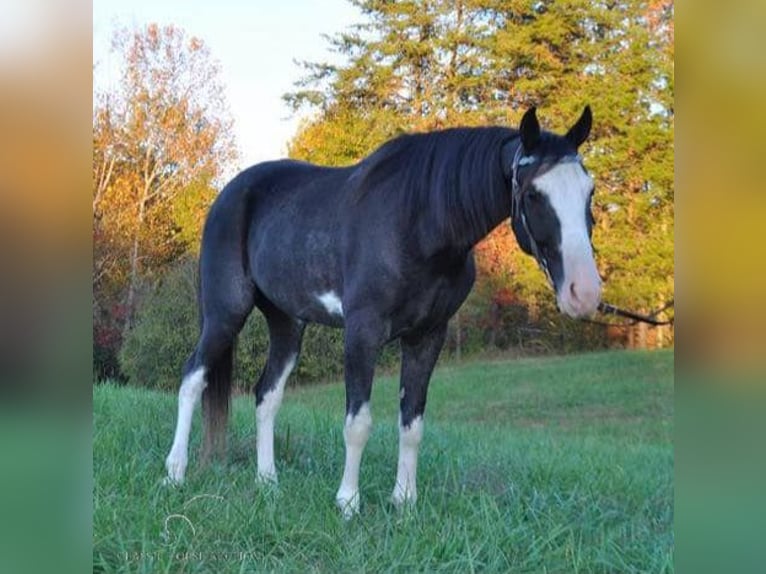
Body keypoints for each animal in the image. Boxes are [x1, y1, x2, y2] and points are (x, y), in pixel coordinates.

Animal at [165, 106, 604, 520]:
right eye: (533, 194)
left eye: (590, 191)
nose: (583, 292)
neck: (419, 222)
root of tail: (227, 194)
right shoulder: (363, 332)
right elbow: (358, 423)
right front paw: (348, 503)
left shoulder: (428, 336)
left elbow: (412, 424)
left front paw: (404, 503)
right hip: (225, 313)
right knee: (192, 378)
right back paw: (175, 473)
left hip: (287, 323)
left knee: (266, 396)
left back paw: (268, 482)